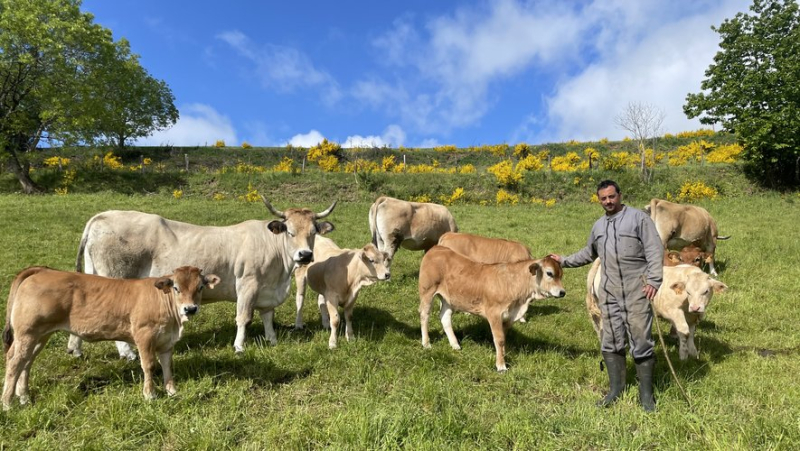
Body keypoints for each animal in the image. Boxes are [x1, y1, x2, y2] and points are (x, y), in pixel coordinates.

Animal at [2, 264, 219, 410]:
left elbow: (167, 366)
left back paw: (24, 397)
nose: (190, 309)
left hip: (40, 335)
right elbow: (149, 365)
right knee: (14, 361)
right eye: (176, 288)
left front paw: (172, 391)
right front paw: (150, 395)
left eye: (200, 287)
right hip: (27, 333)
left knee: (26, 362)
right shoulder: (144, 335)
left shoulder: (166, 341)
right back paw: (7, 403)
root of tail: (43, 270)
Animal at [65, 196, 334, 358]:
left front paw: (272, 340)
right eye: (289, 231)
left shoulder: (267, 290)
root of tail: (102, 216)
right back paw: (127, 353)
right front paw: (239, 346)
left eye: (313, 232)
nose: (305, 255)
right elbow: (244, 318)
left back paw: (75, 349)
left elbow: (267, 316)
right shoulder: (248, 284)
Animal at [416, 245, 564, 372]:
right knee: (424, 315)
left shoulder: (509, 316)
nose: (562, 292)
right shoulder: (494, 313)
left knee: (444, 317)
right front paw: (501, 365)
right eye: (549, 273)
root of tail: (436, 248)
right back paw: (426, 343)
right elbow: (499, 339)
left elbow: (503, 338)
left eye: (561, 275)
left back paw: (455, 344)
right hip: (427, 291)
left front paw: (503, 355)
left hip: (449, 299)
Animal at [584, 262, 728, 360]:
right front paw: (683, 355)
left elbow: (691, 333)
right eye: (688, 291)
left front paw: (693, 353)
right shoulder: (673, 312)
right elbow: (684, 331)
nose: (696, 307)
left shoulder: (692, 317)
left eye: (706, 291)